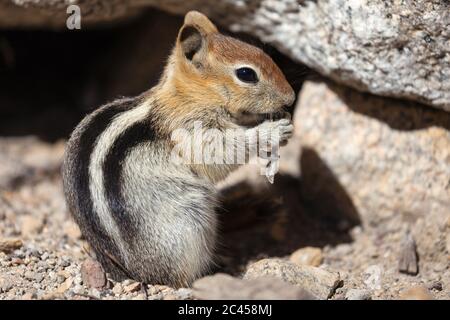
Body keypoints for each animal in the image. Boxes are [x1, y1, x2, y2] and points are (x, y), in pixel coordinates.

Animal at [63, 10, 296, 288]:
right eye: (246, 74)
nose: (291, 98)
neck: (188, 96)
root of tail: (133, 273)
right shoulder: (192, 131)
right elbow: (219, 153)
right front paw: (272, 130)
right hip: (191, 224)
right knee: (181, 277)